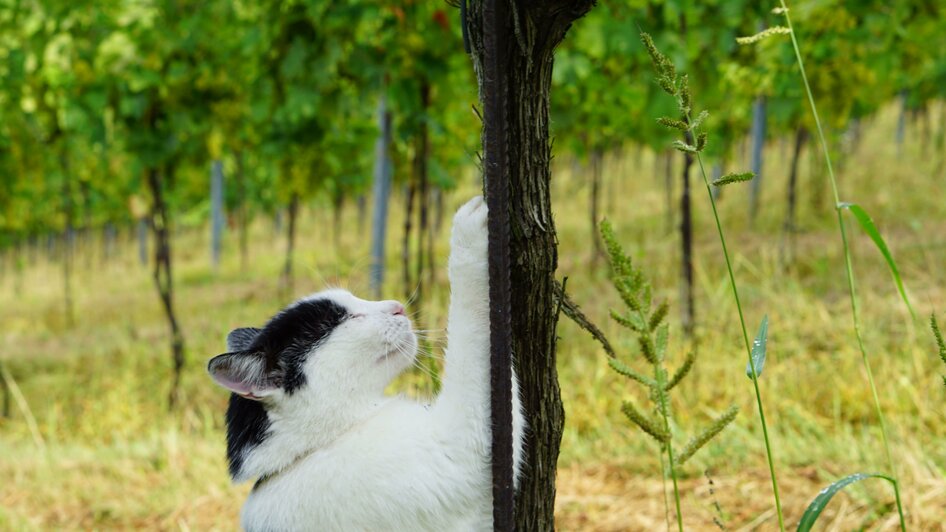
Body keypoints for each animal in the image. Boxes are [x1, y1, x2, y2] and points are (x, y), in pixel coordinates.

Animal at [206, 197, 524, 528]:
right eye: (343, 319)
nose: (397, 307)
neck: (305, 454)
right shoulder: (460, 449)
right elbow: (469, 326)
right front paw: (469, 227)